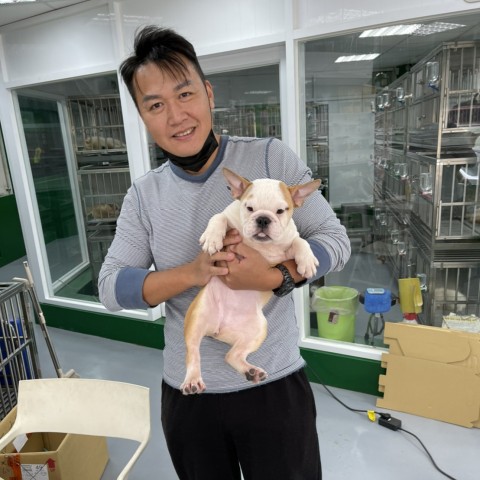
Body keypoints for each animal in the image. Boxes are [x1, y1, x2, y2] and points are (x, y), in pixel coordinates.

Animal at [180, 168, 321, 395]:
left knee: (231, 355)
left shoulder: (286, 248)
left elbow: (300, 241)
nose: (263, 219)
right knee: (193, 352)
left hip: (257, 330)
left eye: (281, 211)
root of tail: (218, 329)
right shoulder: (229, 220)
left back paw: (251, 371)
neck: (260, 245)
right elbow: (218, 217)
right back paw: (193, 380)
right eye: (249, 208)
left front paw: (307, 260)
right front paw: (212, 237)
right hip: (198, 317)